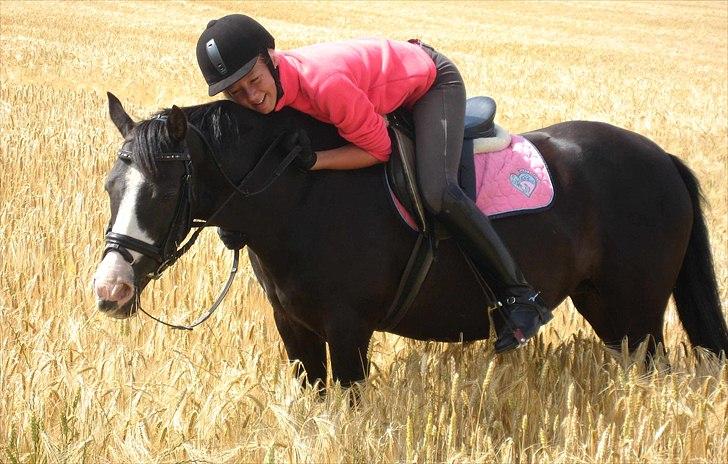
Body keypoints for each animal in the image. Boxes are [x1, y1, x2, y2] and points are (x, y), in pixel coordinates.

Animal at [93, 92, 727, 388]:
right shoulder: (294, 327)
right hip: (610, 312)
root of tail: (662, 158)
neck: (299, 196)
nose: (110, 290)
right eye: (110, 186)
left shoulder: (348, 329)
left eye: (163, 192)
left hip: (636, 316)